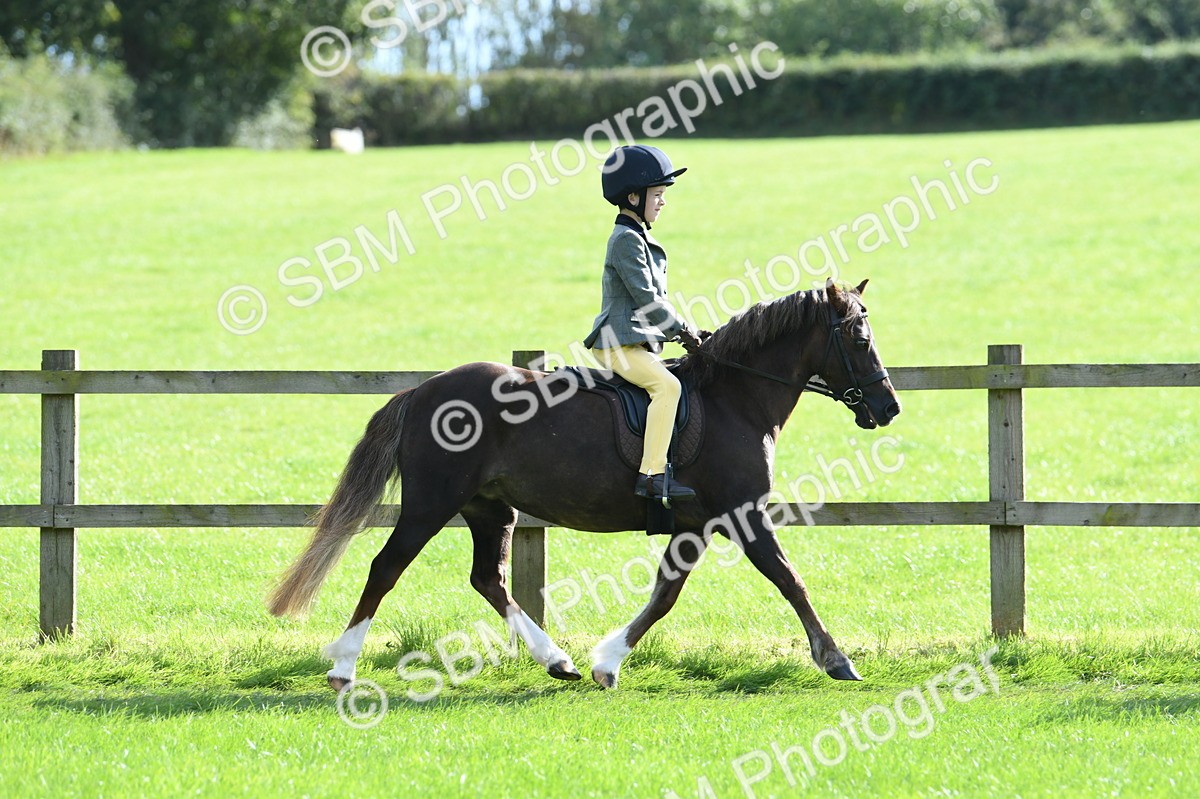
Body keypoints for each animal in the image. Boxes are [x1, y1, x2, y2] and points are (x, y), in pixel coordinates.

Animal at [268, 278, 901, 691]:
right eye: (859, 338)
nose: (888, 407)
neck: (735, 400)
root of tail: (423, 390)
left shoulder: (696, 525)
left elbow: (665, 593)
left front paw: (607, 663)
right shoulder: (744, 516)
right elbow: (790, 581)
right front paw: (837, 660)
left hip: (488, 509)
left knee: (488, 579)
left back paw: (559, 662)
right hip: (431, 504)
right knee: (386, 568)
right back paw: (343, 669)